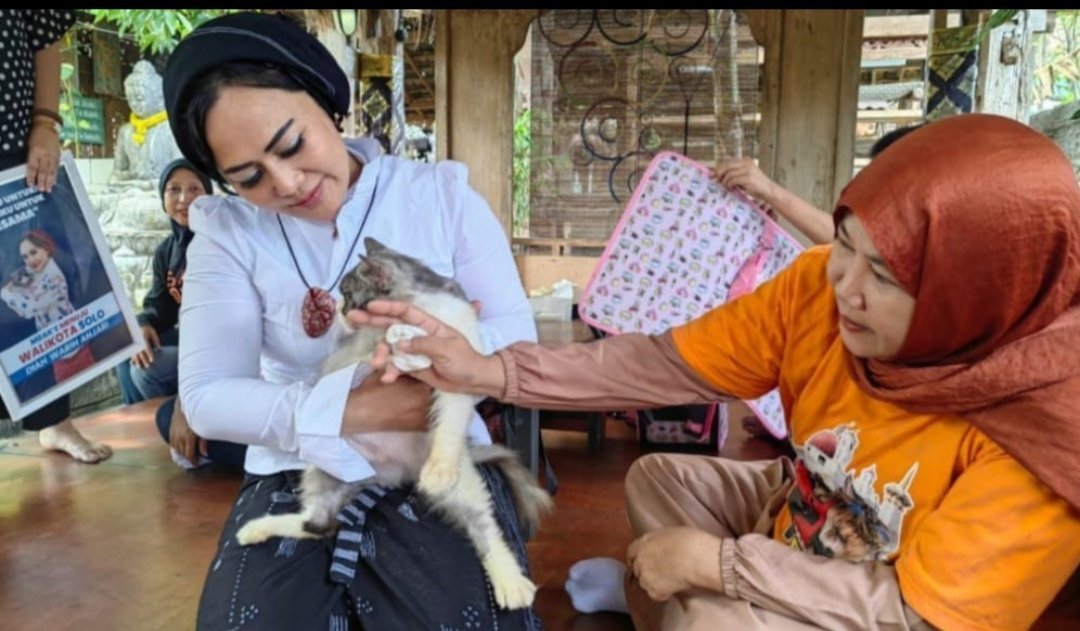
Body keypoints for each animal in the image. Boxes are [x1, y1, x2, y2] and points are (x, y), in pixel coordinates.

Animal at [234, 237, 552, 610]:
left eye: (349, 294)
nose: (339, 308)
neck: (423, 305)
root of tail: (392, 473)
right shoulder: (362, 353)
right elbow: (366, 358)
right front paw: (398, 340)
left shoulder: (460, 365)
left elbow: (450, 417)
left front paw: (406, 339)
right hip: (325, 468)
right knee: (318, 524)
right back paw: (257, 529)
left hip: (463, 485)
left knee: (484, 525)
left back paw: (510, 581)